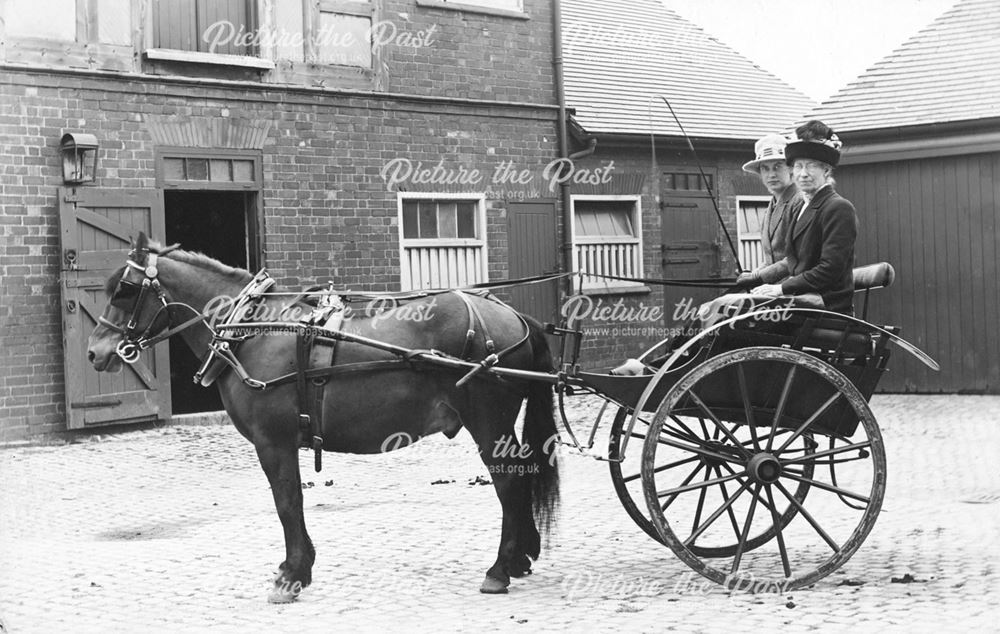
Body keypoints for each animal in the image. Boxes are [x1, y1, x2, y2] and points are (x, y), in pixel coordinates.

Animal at [89, 233, 560, 604]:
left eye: (124, 290)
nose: (96, 352)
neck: (251, 329)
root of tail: (513, 317)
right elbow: (290, 503)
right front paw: (297, 568)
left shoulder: (273, 441)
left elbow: (287, 503)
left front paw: (293, 574)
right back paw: (521, 557)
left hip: (488, 422)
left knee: (509, 482)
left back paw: (500, 568)